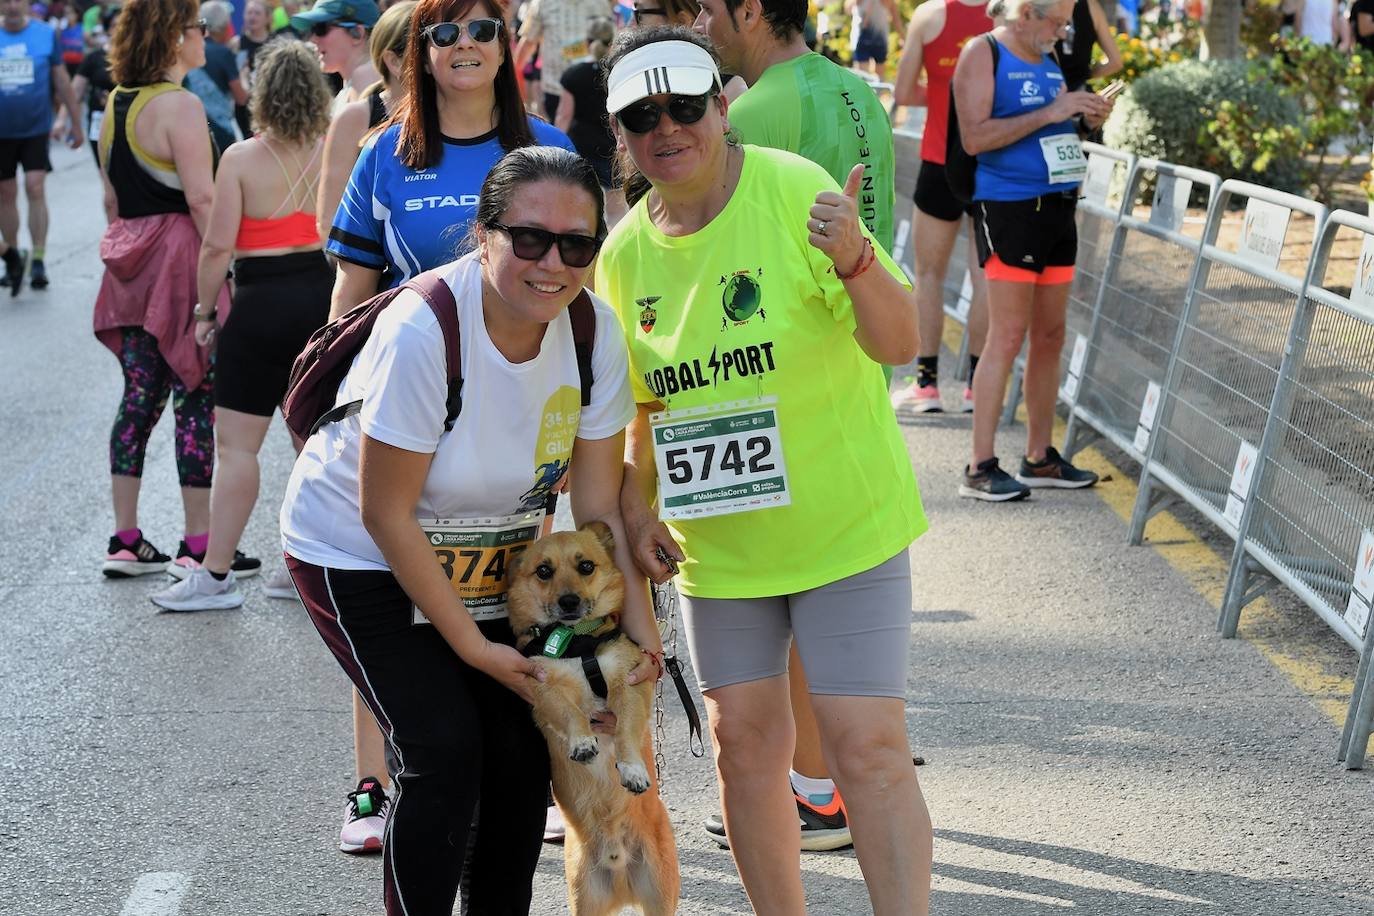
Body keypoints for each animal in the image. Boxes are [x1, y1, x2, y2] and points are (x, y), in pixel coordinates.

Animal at [508, 521, 678, 916]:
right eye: (544, 571)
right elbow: (571, 713)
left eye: (586, 566)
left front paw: (631, 770)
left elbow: (627, 732)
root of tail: (619, 868)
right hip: (584, 897)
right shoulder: (544, 692)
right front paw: (583, 741)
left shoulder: (629, 687)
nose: (569, 602)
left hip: (661, 895)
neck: (574, 641)